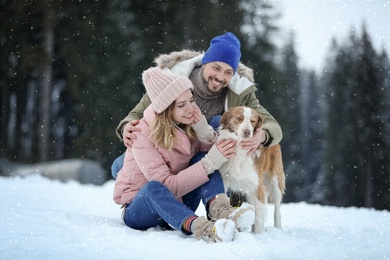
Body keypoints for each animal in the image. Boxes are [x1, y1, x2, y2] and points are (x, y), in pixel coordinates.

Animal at [218, 105, 284, 234]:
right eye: (239, 118)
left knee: (277, 209)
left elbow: (259, 216)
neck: (240, 148)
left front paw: (259, 235)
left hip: (275, 182)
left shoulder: (258, 186)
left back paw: (278, 229)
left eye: (253, 121)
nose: (247, 132)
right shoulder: (224, 181)